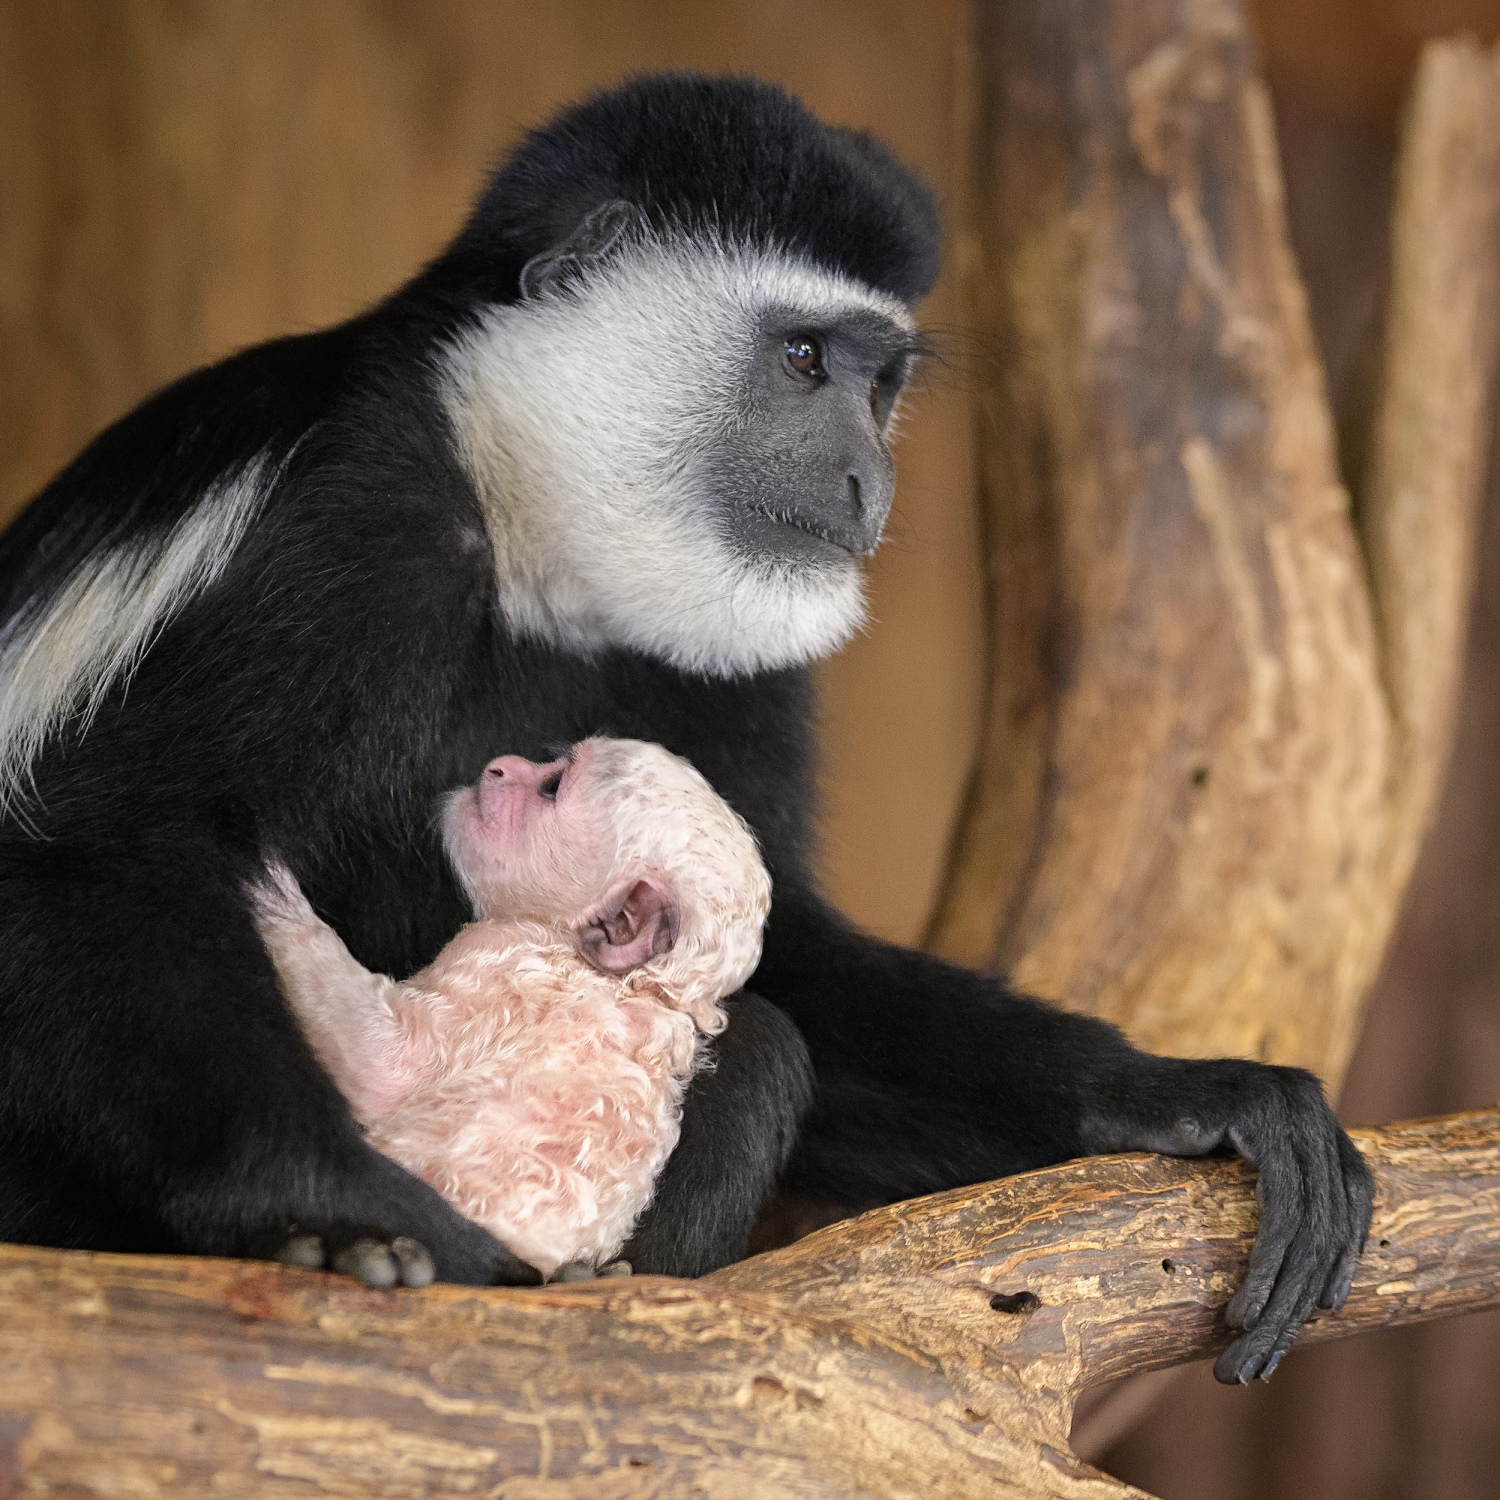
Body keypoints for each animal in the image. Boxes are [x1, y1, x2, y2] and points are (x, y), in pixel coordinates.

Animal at [253, 732, 768, 1284]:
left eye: (551, 786)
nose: (500, 768)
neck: (645, 988)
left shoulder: (498, 955)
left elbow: (385, 1067)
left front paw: (266, 882)